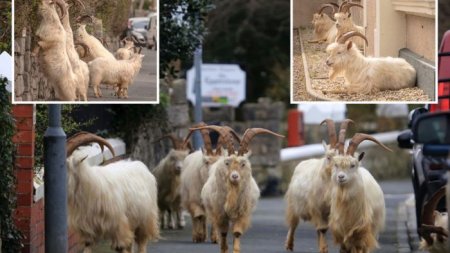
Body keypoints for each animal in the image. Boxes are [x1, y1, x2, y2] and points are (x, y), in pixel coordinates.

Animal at [286, 119, 354, 253]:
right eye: (329, 157)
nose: (339, 174)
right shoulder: (316, 208)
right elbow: (322, 229)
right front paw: (324, 249)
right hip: (293, 204)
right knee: (293, 223)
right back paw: (289, 245)